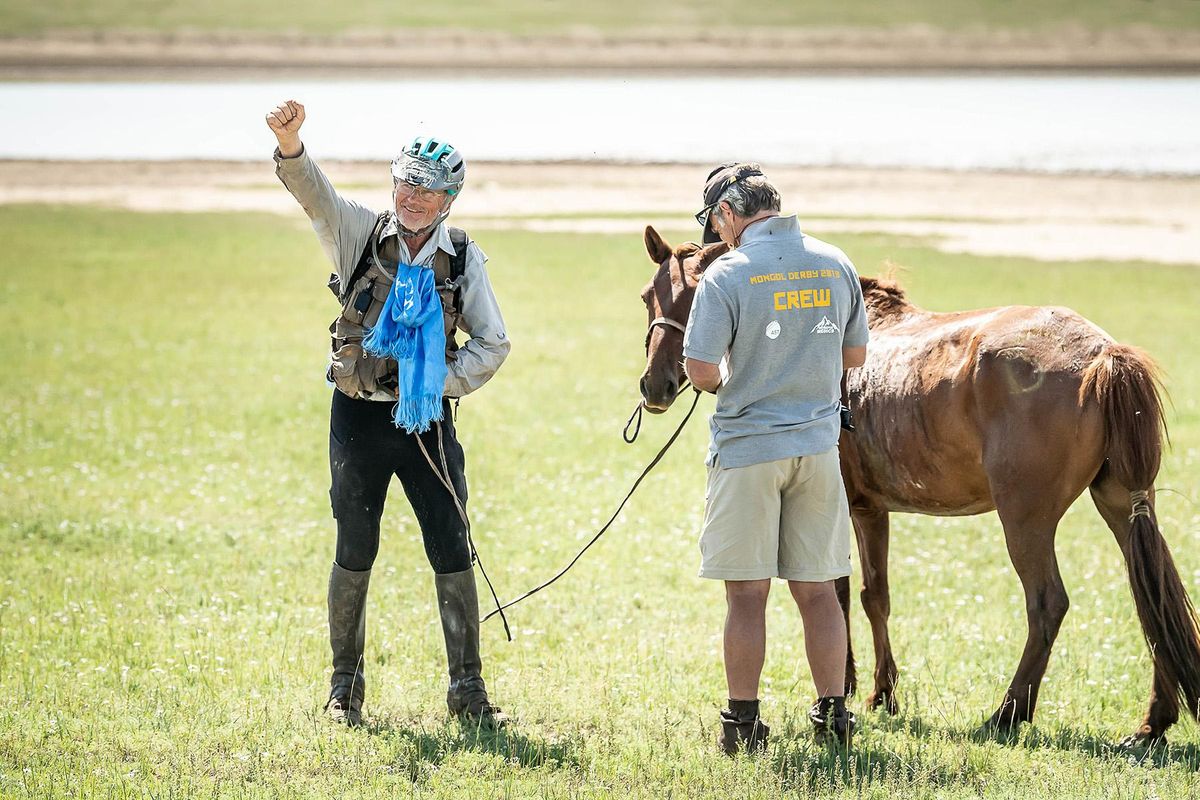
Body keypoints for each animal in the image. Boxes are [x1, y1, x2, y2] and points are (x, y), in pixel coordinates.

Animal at [643, 224, 1200, 743]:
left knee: (1048, 604)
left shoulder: (850, 507)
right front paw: (876, 689)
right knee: (1150, 594)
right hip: (1123, 504)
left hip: (1026, 518)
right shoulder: (869, 509)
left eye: (696, 298)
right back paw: (1152, 722)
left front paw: (855, 688)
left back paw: (1007, 713)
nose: (655, 385)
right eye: (651, 295)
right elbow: (871, 595)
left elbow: (847, 593)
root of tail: (1103, 354)